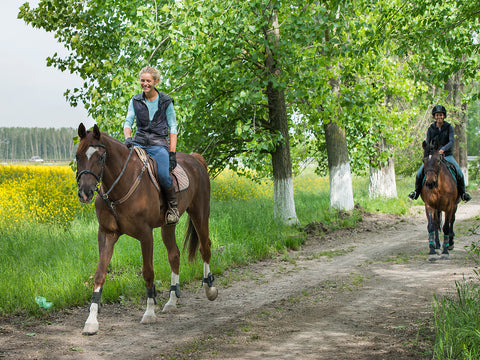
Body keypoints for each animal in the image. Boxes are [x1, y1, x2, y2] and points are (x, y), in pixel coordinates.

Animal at [76, 123, 218, 334]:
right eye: (78, 156)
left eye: (100, 157)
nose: (85, 193)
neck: (121, 183)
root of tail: (195, 159)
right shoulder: (107, 234)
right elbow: (100, 274)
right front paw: (91, 321)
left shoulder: (145, 235)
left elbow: (148, 272)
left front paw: (149, 313)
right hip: (168, 225)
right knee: (174, 255)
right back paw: (172, 301)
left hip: (200, 214)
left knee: (205, 247)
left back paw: (210, 289)